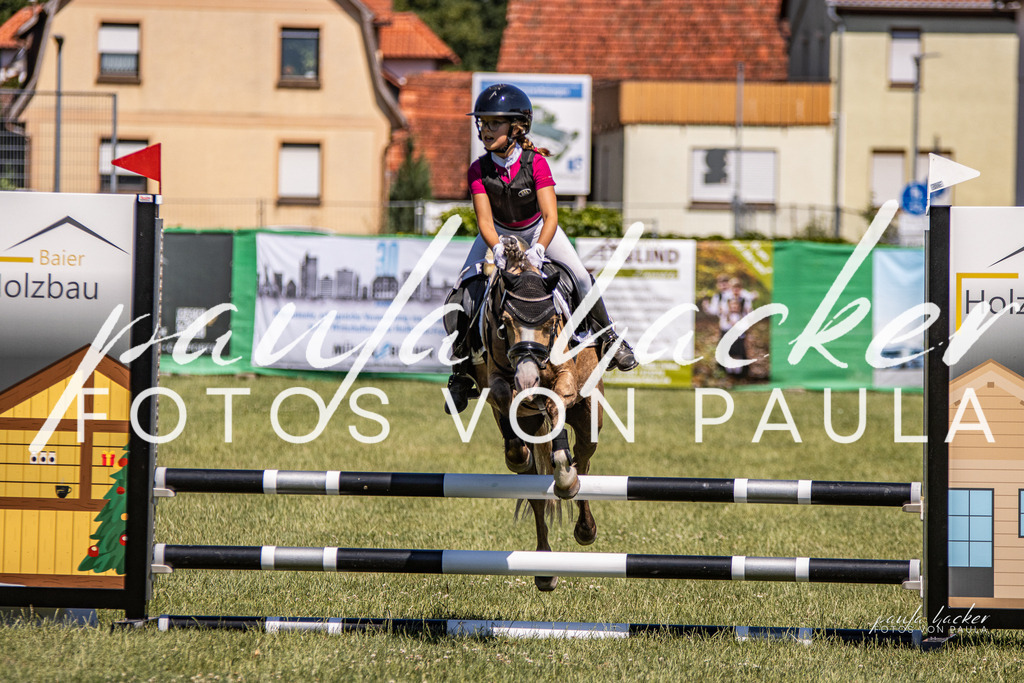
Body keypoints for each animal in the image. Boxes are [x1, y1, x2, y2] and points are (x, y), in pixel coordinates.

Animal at [473, 235, 604, 592]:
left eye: (550, 321)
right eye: (505, 322)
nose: (529, 378)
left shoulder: (567, 379)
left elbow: (557, 405)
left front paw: (564, 475)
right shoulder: (496, 381)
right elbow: (506, 399)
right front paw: (518, 450)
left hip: (589, 415)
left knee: (583, 459)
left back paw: (584, 524)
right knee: (533, 489)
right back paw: (545, 568)